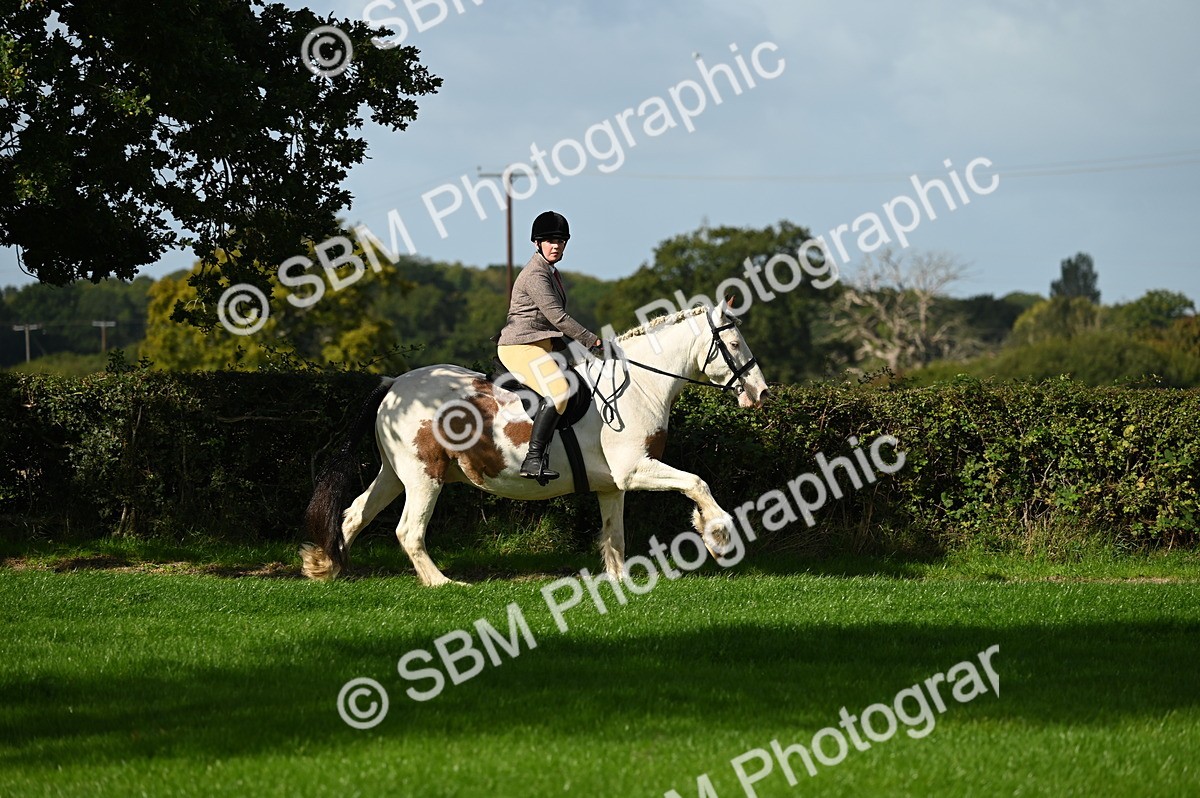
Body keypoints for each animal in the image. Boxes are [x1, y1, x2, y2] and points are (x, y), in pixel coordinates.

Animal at [299, 300, 770, 585]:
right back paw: (443, 583)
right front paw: (718, 537)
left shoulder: (613, 485)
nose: (761, 393)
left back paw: (325, 565)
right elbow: (696, 483)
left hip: (395, 474)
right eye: (732, 343)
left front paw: (619, 580)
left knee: (353, 515)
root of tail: (395, 383)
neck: (638, 385)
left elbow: (614, 534)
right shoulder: (636, 470)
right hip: (423, 477)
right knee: (408, 530)